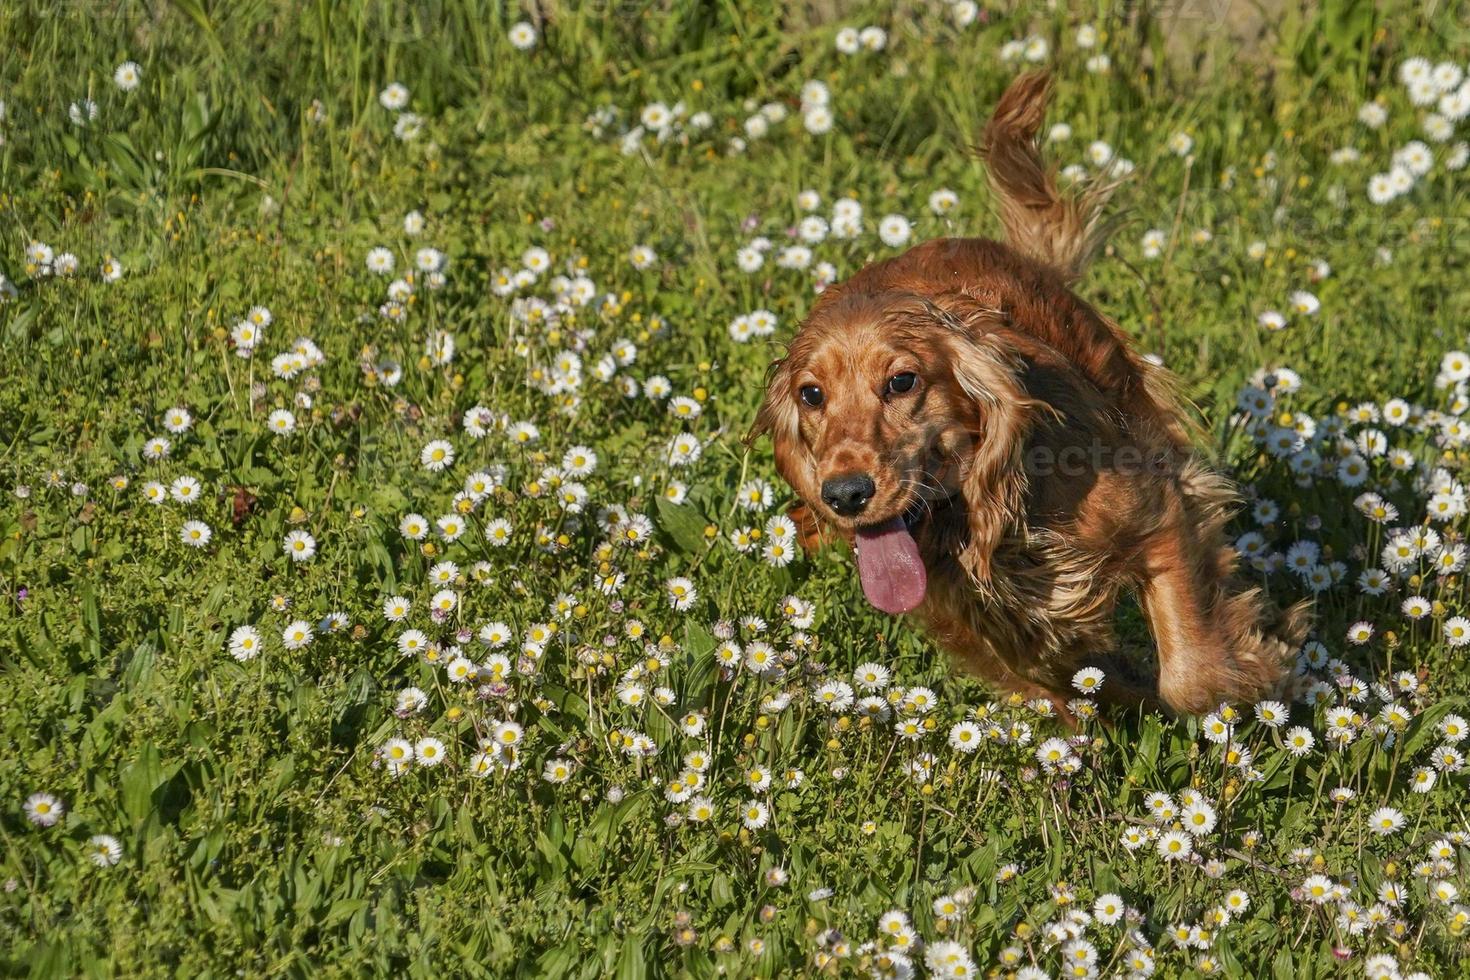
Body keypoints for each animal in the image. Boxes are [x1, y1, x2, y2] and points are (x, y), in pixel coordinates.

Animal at [752, 69, 1305, 714]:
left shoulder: (1159, 511)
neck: (977, 514)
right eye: (811, 395)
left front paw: (1268, 665)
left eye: (901, 381)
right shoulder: (987, 628)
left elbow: (1190, 676)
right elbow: (1076, 681)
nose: (843, 495)